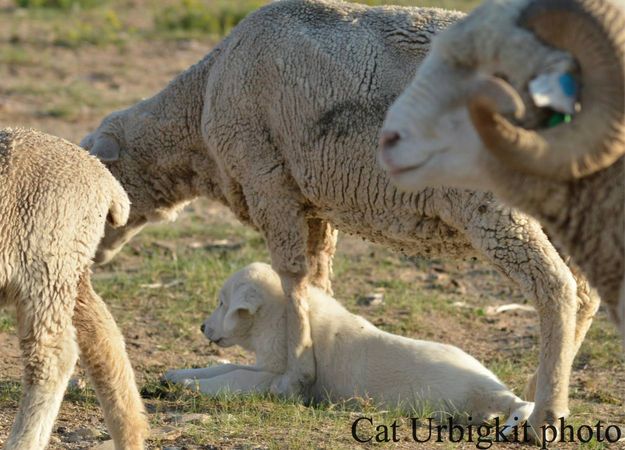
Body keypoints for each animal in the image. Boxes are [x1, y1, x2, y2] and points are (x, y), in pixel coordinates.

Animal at [0, 128, 147, 448]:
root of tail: (104, 179)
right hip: (71, 263)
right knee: (103, 338)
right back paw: (130, 434)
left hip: (45, 258)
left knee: (53, 357)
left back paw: (23, 442)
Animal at [165, 264, 532, 428]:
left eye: (222, 303)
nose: (201, 327)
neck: (282, 316)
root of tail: (490, 390)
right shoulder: (267, 364)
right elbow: (226, 366)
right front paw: (176, 374)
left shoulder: (278, 376)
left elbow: (236, 377)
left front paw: (192, 385)